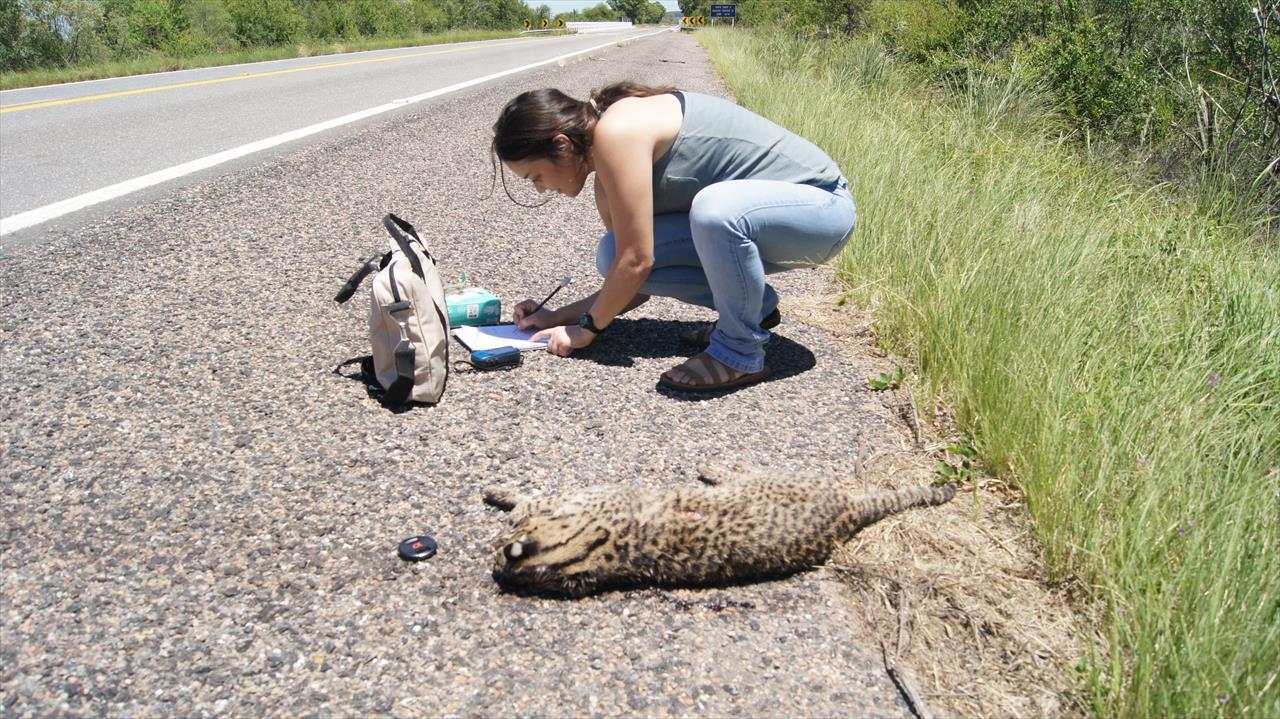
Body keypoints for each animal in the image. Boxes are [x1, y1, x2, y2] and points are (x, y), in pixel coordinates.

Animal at [483, 460, 957, 596]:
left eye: (499, 543)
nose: (492, 558)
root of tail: (848, 510)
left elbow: (532, 496)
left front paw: (504, 495)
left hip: (777, 475)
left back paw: (716, 472)